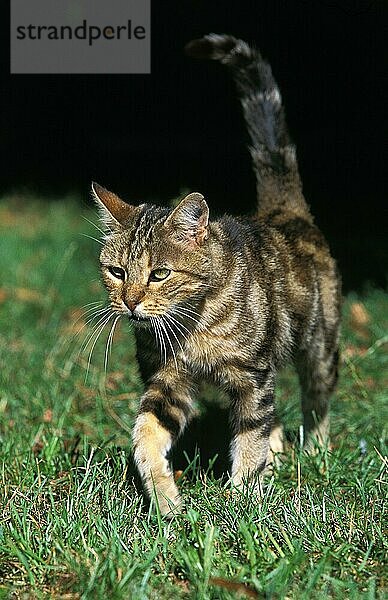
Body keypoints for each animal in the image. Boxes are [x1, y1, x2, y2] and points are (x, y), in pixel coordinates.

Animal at [90, 32, 340, 516]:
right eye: (116, 271)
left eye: (159, 274)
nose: (129, 302)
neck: (192, 324)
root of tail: (285, 210)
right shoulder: (167, 381)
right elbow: (145, 436)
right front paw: (165, 501)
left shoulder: (252, 376)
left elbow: (250, 439)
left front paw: (243, 499)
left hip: (320, 346)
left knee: (313, 401)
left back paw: (315, 453)